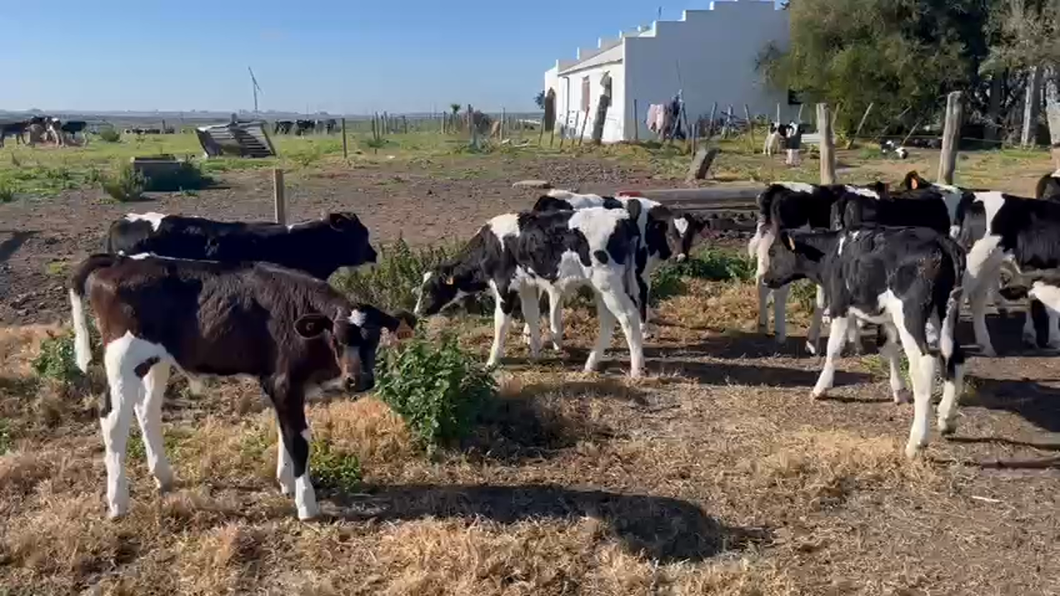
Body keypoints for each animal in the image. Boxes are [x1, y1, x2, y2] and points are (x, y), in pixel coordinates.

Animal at [68, 252, 415, 517]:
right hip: (121, 357)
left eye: (375, 337)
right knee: (113, 420)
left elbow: (285, 431)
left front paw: (286, 481)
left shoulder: (286, 386)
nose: (360, 380)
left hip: (155, 360)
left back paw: (162, 477)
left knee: (147, 410)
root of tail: (121, 260)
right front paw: (307, 504)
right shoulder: (285, 383)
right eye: (338, 338)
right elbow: (298, 440)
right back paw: (118, 503)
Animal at [413, 203, 644, 375]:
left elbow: (500, 324)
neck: (490, 246)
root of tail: (621, 215)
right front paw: (535, 353)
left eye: (430, 289)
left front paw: (491, 362)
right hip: (601, 288)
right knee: (608, 320)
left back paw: (635, 370)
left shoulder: (504, 287)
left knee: (628, 317)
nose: (417, 312)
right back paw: (590, 364)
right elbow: (531, 315)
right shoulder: (526, 285)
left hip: (608, 284)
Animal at [763, 224, 970, 456]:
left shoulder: (839, 305)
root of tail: (941, 241)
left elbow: (834, 348)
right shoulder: (886, 317)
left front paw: (820, 388)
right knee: (954, 356)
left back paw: (916, 442)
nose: (765, 279)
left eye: (773, 252)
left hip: (911, 314)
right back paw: (947, 419)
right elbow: (887, 347)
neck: (832, 253)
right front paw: (899, 391)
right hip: (947, 312)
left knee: (924, 364)